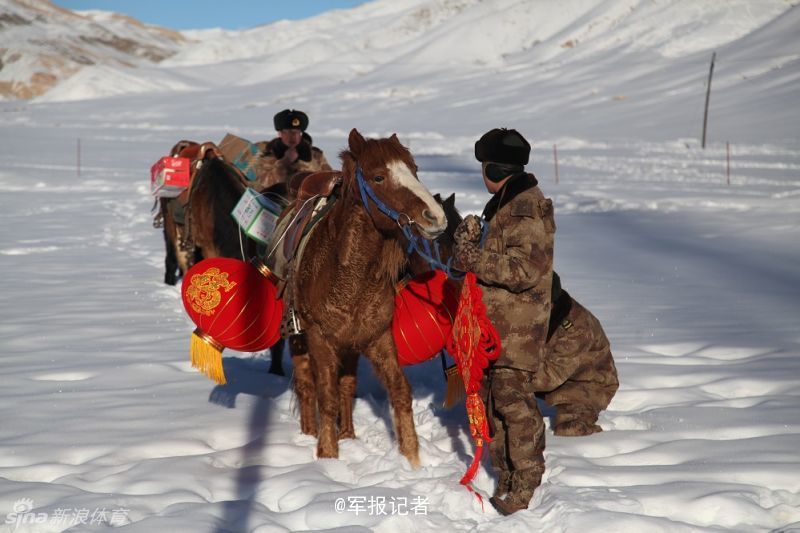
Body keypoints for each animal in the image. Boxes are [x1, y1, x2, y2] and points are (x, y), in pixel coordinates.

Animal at [290, 129, 446, 466]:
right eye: (378, 177)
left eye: (414, 169)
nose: (436, 217)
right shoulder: (319, 338)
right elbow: (326, 397)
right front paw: (327, 456)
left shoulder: (378, 336)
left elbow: (399, 390)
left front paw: (412, 461)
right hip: (297, 339)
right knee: (307, 386)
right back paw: (307, 434)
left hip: (350, 346)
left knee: (347, 386)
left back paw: (348, 435)